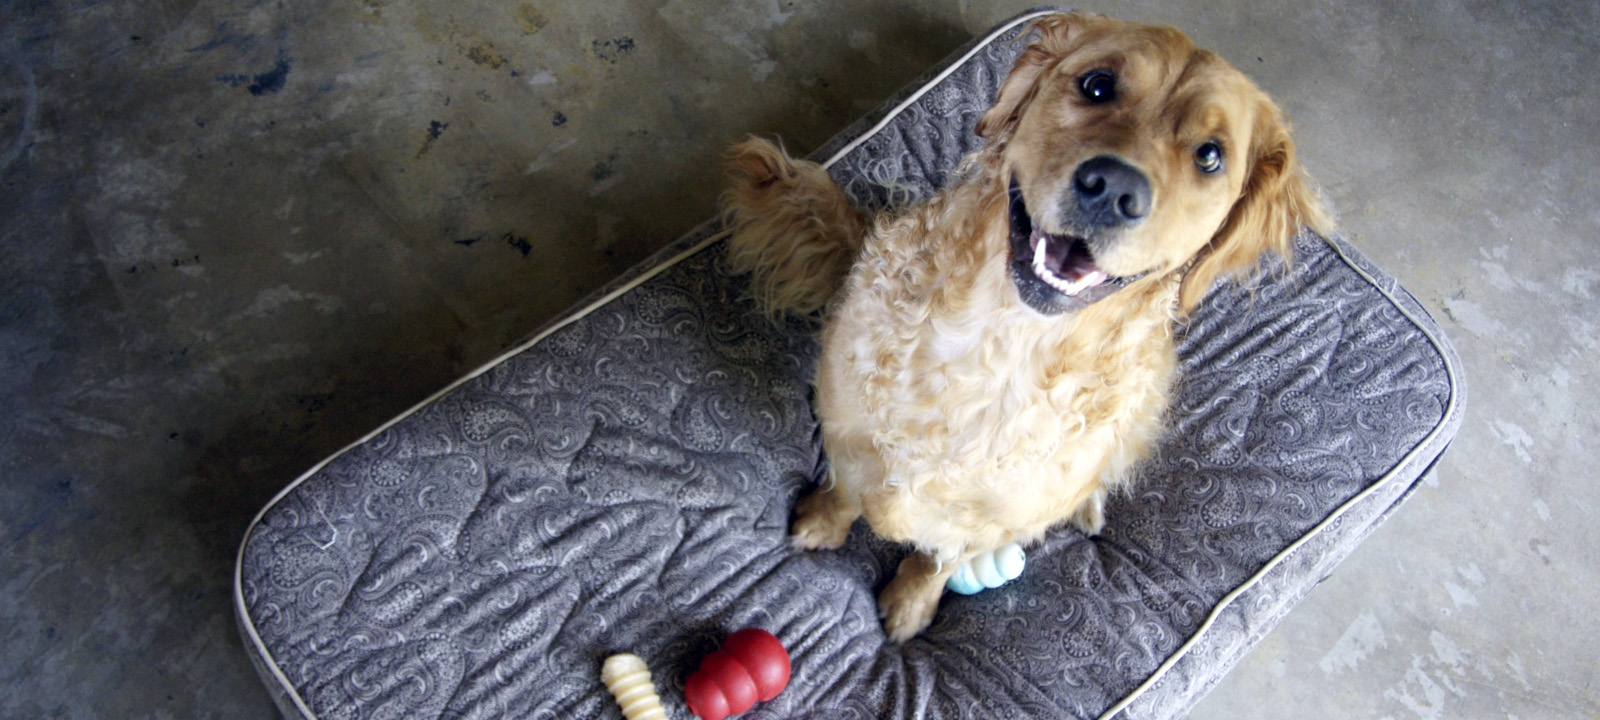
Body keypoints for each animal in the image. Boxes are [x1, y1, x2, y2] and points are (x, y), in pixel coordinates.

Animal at [721, 12, 1328, 642]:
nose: (1114, 188)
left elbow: (940, 558)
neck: (1000, 344)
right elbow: (845, 491)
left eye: (1210, 156)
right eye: (1097, 86)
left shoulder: (990, 521)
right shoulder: (849, 431)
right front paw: (821, 524)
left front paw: (912, 604)